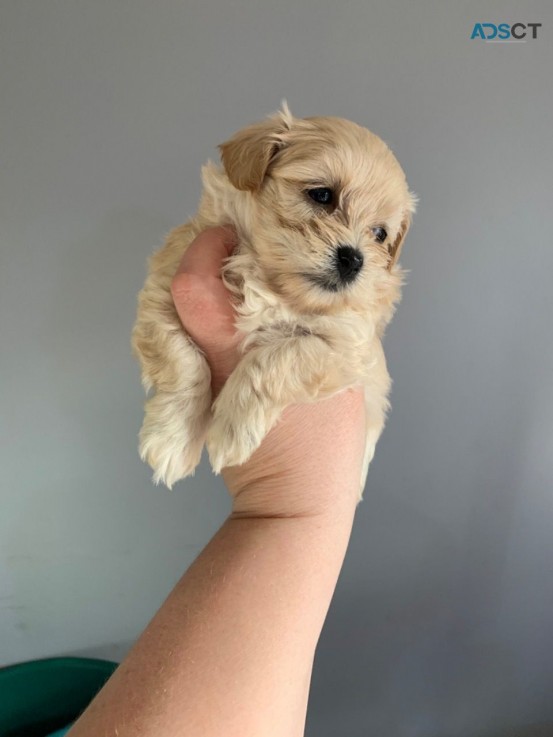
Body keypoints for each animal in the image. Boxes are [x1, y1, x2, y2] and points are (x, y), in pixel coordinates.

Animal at [130, 103, 414, 492]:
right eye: (321, 195)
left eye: (380, 234)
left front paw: (231, 430)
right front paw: (171, 439)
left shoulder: (348, 344)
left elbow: (276, 359)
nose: (354, 259)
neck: (272, 283)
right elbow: (181, 361)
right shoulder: (164, 288)